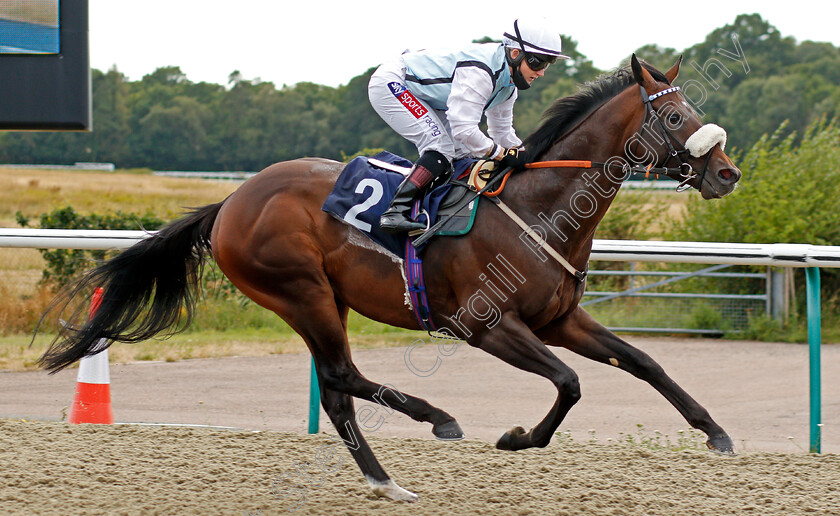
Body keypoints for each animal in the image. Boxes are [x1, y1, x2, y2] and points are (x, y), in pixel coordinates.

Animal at [42, 55, 740, 500]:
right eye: (675, 120)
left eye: (692, 109)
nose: (727, 173)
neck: (539, 209)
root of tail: (230, 202)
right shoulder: (484, 324)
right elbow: (568, 383)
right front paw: (518, 438)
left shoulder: (559, 318)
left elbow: (643, 362)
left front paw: (716, 432)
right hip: (300, 291)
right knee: (341, 377)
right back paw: (431, 425)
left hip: (325, 299)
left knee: (336, 388)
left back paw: (389, 475)